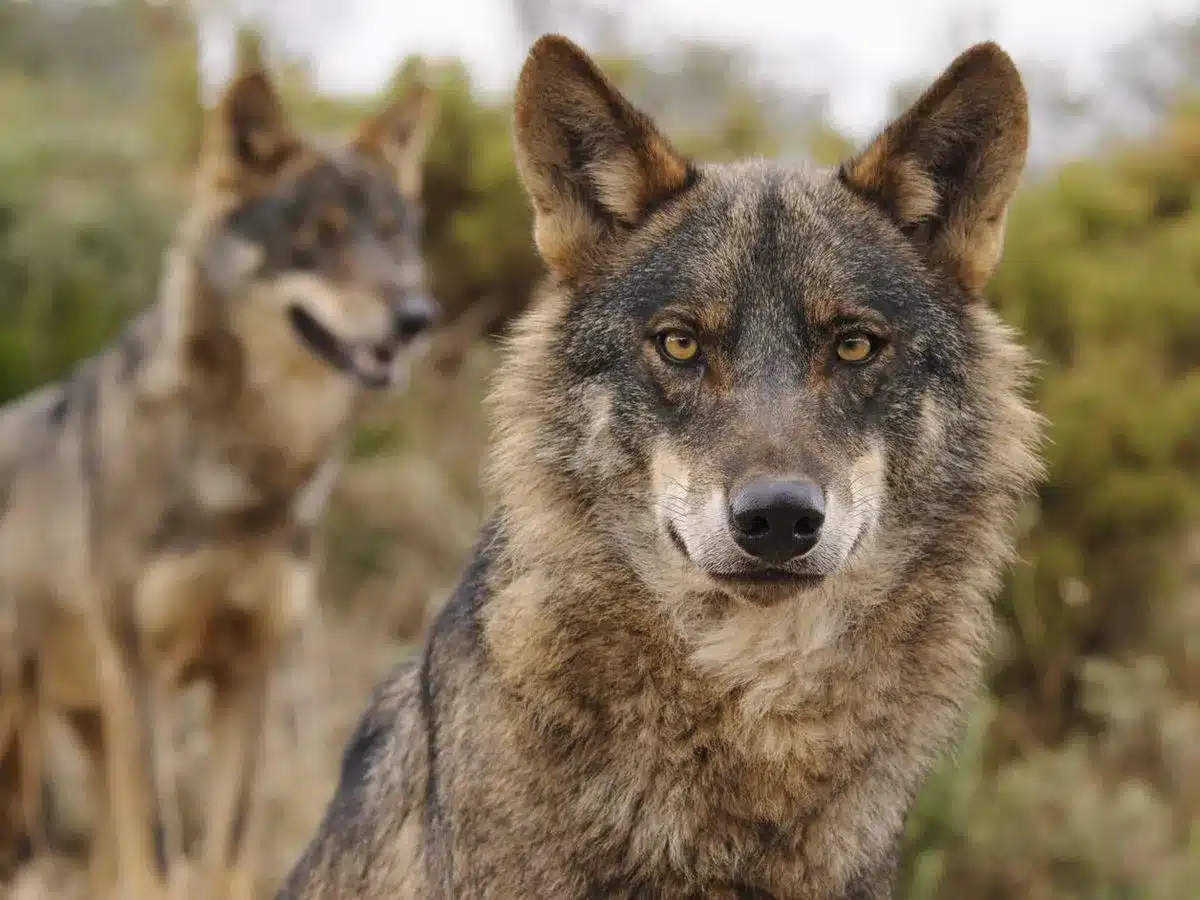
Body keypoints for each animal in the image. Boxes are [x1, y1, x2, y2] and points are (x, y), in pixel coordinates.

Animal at [0, 65, 439, 900]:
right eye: (320, 234)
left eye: (393, 232)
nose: (416, 317)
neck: (250, 478)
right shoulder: (142, 673)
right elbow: (160, 855)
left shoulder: (248, 671)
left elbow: (226, 850)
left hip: (90, 731)